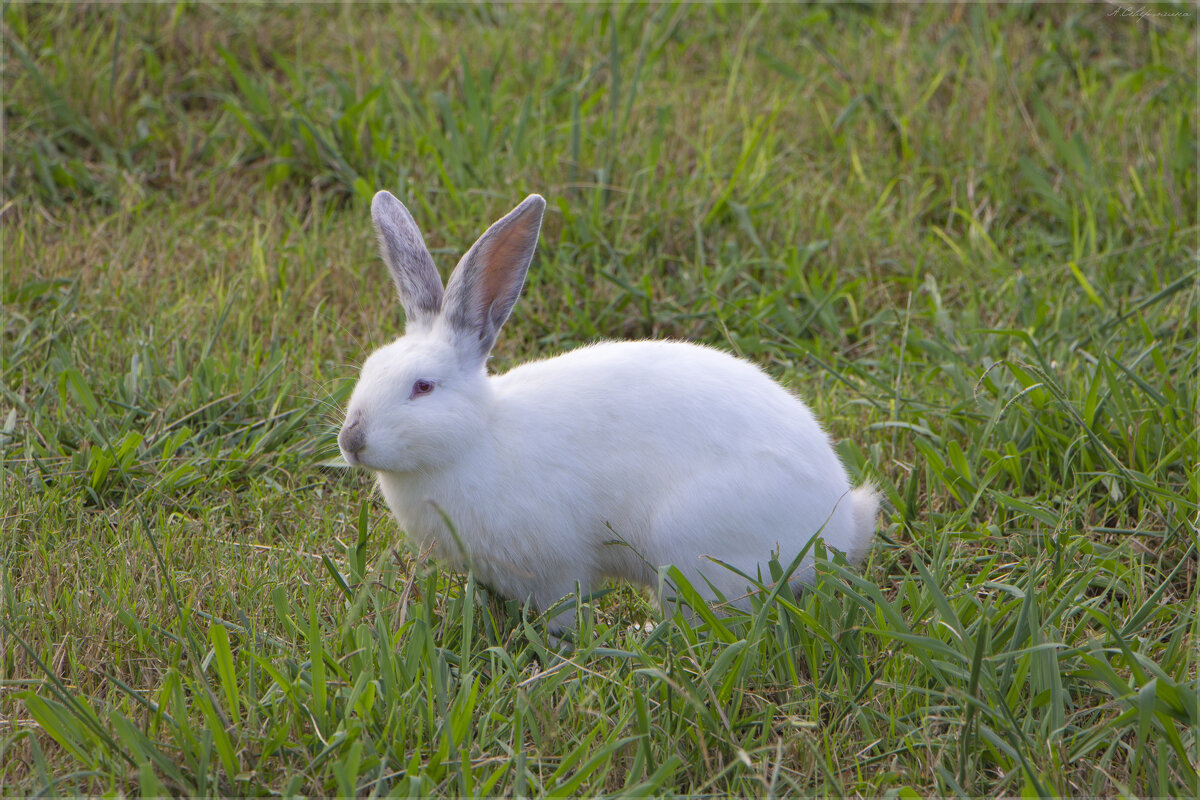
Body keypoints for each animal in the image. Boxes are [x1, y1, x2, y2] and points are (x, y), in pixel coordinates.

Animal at [340, 190, 883, 628]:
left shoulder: (554, 570)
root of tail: (841, 525)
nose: (351, 441)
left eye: (423, 387)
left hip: (691, 551)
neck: (477, 438)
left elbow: (563, 611)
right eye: (368, 369)